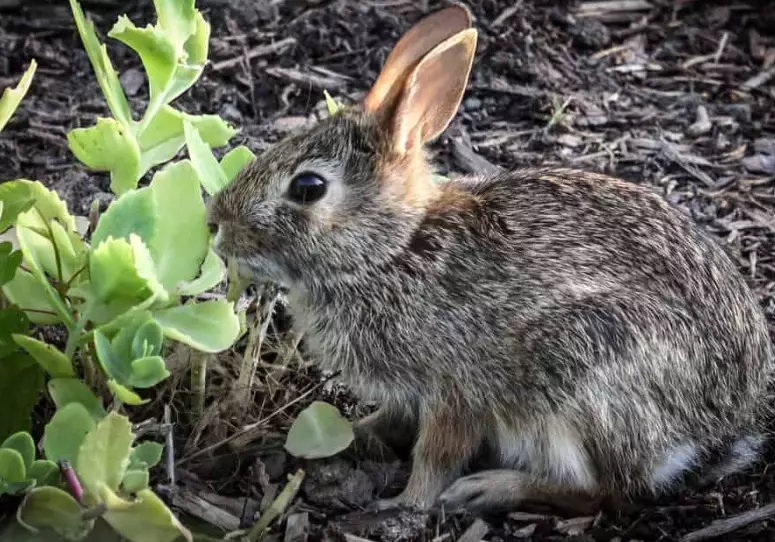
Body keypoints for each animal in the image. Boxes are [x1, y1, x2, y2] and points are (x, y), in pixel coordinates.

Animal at [207, 3, 775, 515]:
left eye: (308, 187)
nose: (217, 224)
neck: (393, 250)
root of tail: (721, 428)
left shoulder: (457, 389)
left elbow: (437, 453)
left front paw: (405, 503)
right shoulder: (408, 394)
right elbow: (393, 421)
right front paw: (353, 435)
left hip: (582, 368)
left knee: (609, 492)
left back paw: (490, 490)